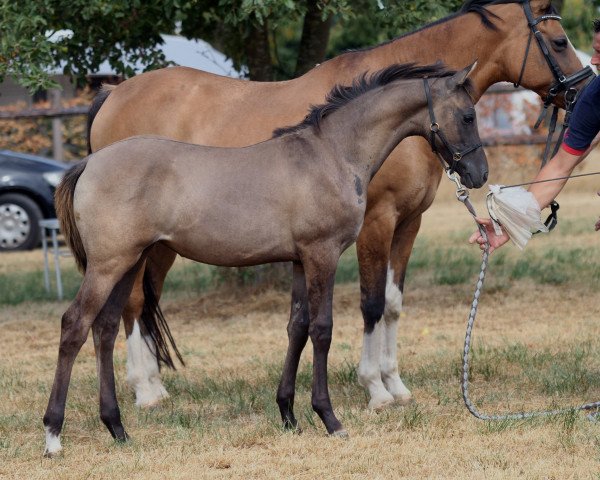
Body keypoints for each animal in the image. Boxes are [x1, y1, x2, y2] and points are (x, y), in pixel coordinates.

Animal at [45, 62, 488, 454]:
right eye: (468, 115)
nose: (479, 175)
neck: (332, 154)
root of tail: (88, 163)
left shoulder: (299, 260)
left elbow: (297, 327)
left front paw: (288, 415)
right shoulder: (322, 254)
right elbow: (322, 330)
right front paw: (330, 418)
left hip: (129, 263)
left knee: (104, 329)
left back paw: (117, 427)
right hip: (109, 265)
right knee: (75, 325)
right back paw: (53, 435)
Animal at [86, 0, 588, 412]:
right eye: (560, 41)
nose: (584, 90)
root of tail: (113, 95)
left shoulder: (409, 223)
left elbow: (393, 304)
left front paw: (395, 383)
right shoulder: (377, 223)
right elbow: (369, 303)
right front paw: (374, 389)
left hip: (160, 244)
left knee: (141, 302)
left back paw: (154, 385)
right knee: (132, 302)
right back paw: (144, 392)